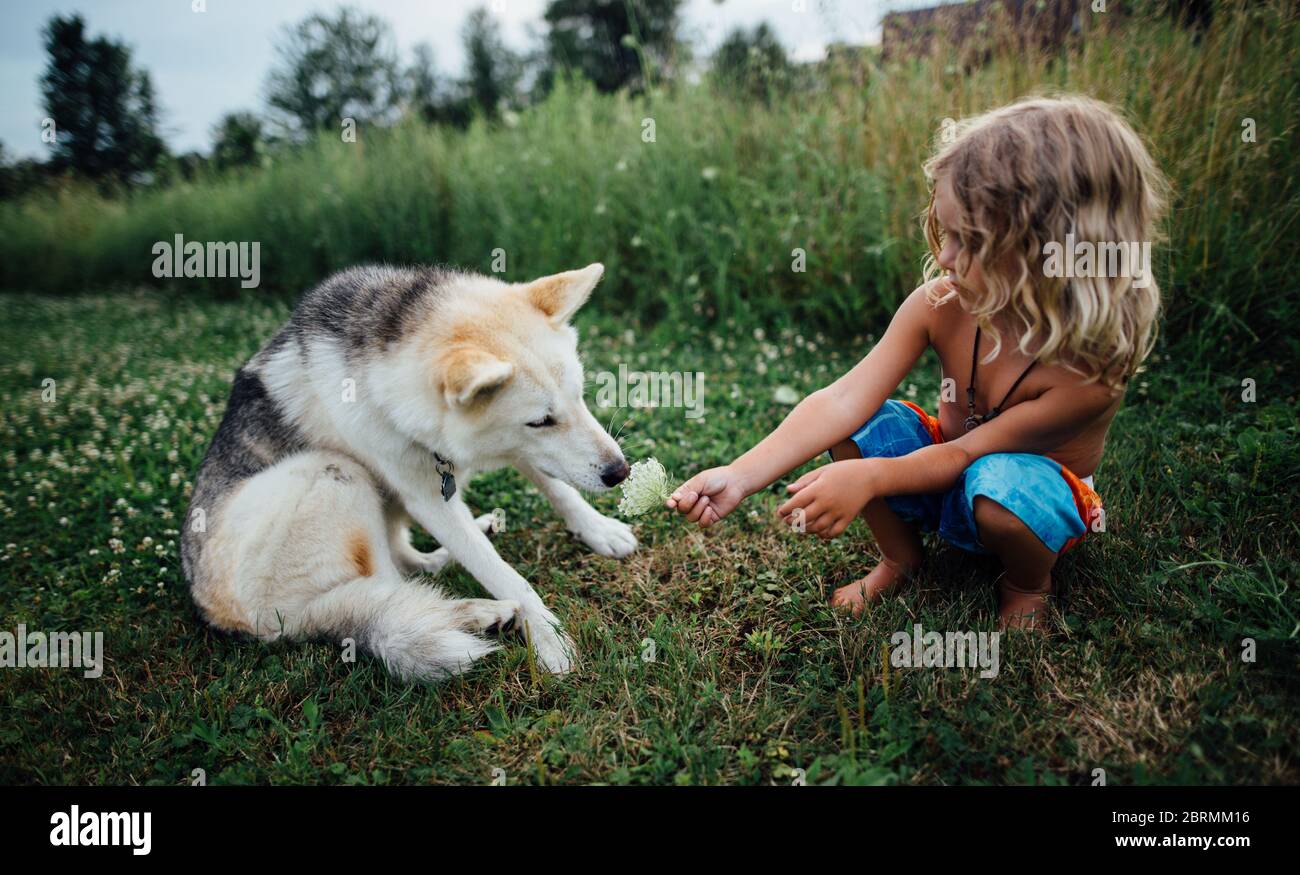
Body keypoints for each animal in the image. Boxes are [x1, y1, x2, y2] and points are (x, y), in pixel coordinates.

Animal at [178, 262, 634, 681]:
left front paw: (598, 529)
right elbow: (506, 576)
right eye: (540, 421)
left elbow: (560, 490)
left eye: (580, 396)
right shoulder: (430, 498)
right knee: (386, 592)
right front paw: (547, 636)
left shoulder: (507, 448)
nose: (620, 472)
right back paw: (474, 612)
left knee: (407, 564)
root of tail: (238, 621)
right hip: (335, 471)